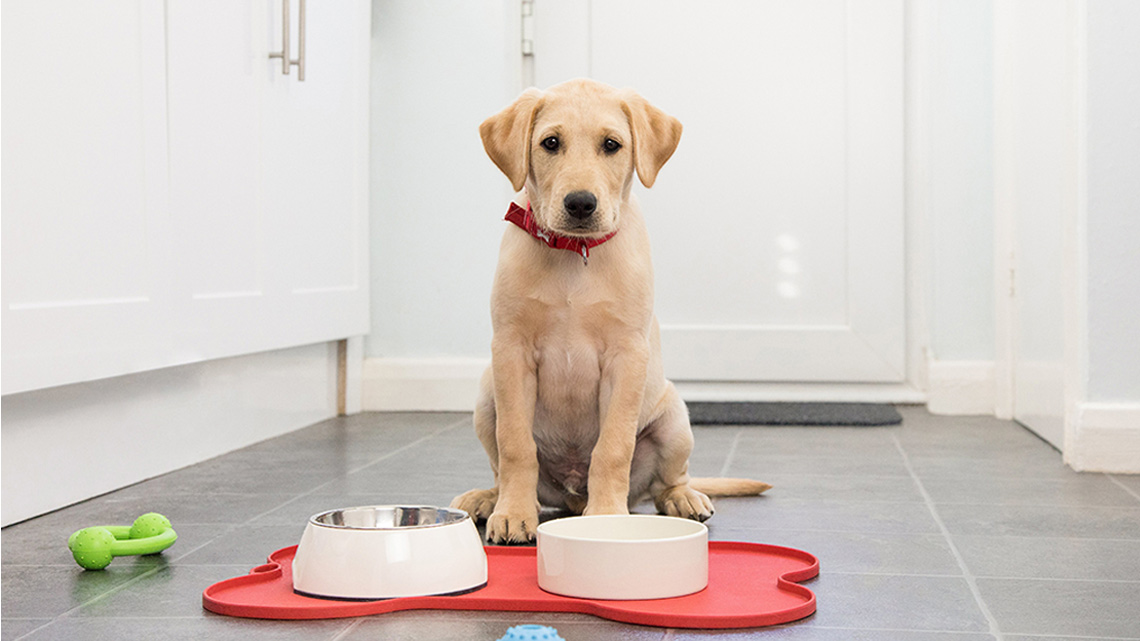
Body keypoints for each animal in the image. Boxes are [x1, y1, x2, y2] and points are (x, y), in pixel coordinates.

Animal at [449, 77, 770, 540]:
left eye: (612, 145)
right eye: (550, 143)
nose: (581, 204)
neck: (575, 254)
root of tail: (571, 495)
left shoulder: (627, 356)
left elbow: (613, 448)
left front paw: (605, 517)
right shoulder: (511, 351)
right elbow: (516, 446)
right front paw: (513, 512)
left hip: (675, 420)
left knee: (666, 481)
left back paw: (682, 498)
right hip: (486, 399)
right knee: (501, 466)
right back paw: (489, 498)